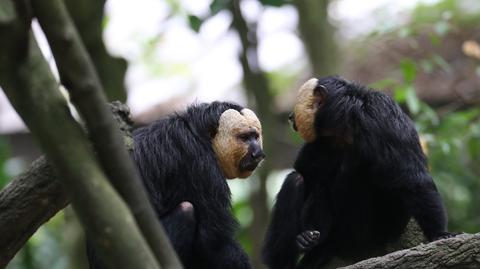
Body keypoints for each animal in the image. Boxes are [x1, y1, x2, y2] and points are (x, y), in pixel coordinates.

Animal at [87, 101, 264, 268]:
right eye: (244, 137)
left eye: (255, 136)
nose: (258, 153)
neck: (199, 135)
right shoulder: (200, 166)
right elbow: (212, 240)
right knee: (186, 211)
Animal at [262, 76, 454, 268]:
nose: (290, 116)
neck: (344, 126)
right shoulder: (321, 142)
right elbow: (308, 174)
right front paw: (307, 239)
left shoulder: (382, 114)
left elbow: (413, 178)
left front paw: (439, 234)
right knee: (298, 180)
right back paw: (288, 254)